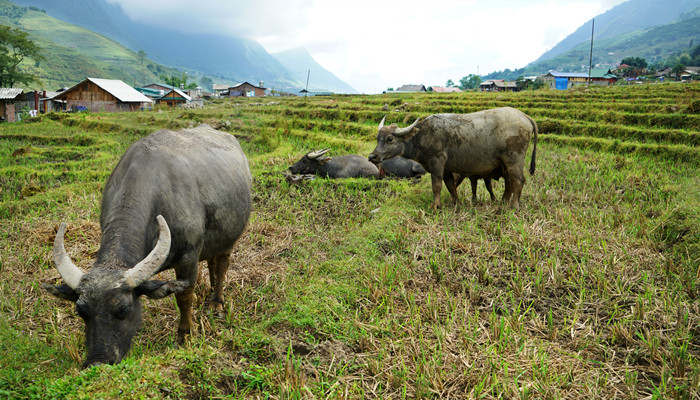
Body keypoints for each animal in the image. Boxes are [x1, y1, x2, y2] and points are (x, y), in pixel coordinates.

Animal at [43, 125, 252, 368]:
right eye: (80, 310)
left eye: (123, 309)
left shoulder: (188, 257)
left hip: (231, 237)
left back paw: (216, 302)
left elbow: (184, 297)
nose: (98, 363)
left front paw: (185, 335)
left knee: (222, 265)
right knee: (212, 261)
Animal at [370, 108, 540, 209]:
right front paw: (455, 203)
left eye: (390, 139)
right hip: (505, 163)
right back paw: (503, 202)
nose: (372, 156)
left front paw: (435, 206)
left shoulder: (437, 163)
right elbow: (450, 186)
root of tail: (524, 116)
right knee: (509, 182)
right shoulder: (446, 169)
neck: (422, 136)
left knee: (518, 180)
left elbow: (437, 186)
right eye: (378, 138)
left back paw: (514, 206)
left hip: (514, 159)